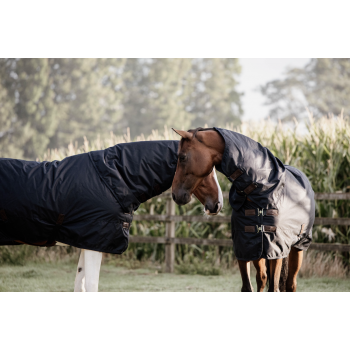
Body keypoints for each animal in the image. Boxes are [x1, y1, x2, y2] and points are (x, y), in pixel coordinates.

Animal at [0, 139, 221, 290]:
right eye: (208, 170)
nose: (217, 205)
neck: (113, 178)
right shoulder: (94, 244)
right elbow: (91, 287)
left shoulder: (87, 242)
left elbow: (80, 285)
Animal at [171, 127, 316, 292]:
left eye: (182, 157)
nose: (175, 195)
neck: (260, 193)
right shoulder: (244, 248)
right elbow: (248, 287)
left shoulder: (276, 250)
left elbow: (274, 287)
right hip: (259, 252)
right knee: (262, 278)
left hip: (298, 247)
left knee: (291, 283)